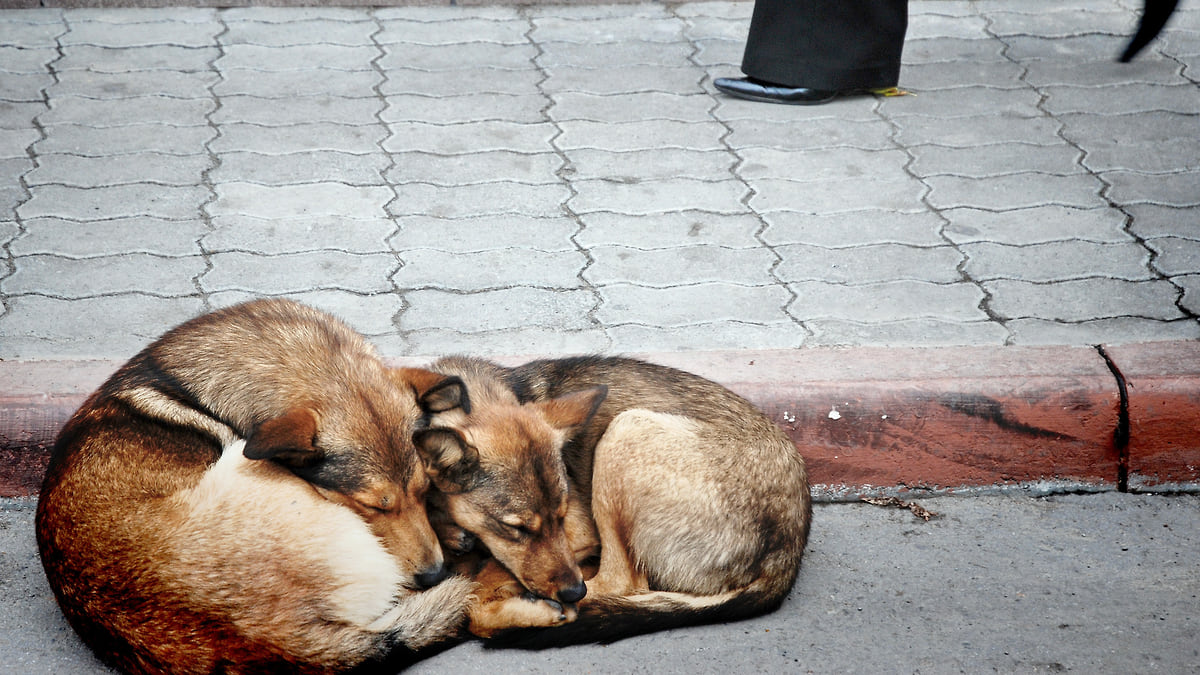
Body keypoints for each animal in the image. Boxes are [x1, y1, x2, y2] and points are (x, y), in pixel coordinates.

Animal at [415, 353, 816, 638]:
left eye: (561, 515)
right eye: (516, 528)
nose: (572, 592)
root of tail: (785, 554)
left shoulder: (578, 531)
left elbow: (480, 591)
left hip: (625, 431)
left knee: (622, 584)